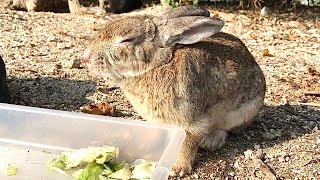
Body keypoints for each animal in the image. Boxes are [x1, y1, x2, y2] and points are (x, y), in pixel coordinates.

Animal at [82, 5, 264, 177]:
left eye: (127, 39)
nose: (86, 57)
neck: (158, 64)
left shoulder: (193, 120)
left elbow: (189, 142)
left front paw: (178, 168)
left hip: (244, 111)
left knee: (227, 128)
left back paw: (212, 141)